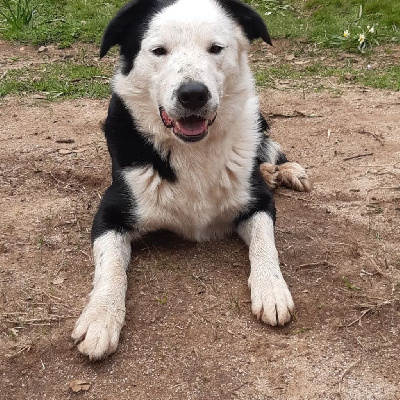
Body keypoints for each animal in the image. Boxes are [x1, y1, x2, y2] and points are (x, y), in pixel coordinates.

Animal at [72, 0, 310, 360]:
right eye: (159, 50)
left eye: (215, 48)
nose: (193, 94)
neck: (192, 150)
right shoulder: (109, 214)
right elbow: (109, 268)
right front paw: (100, 318)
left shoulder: (258, 204)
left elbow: (265, 244)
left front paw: (272, 289)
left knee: (266, 146)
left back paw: (282, 170)